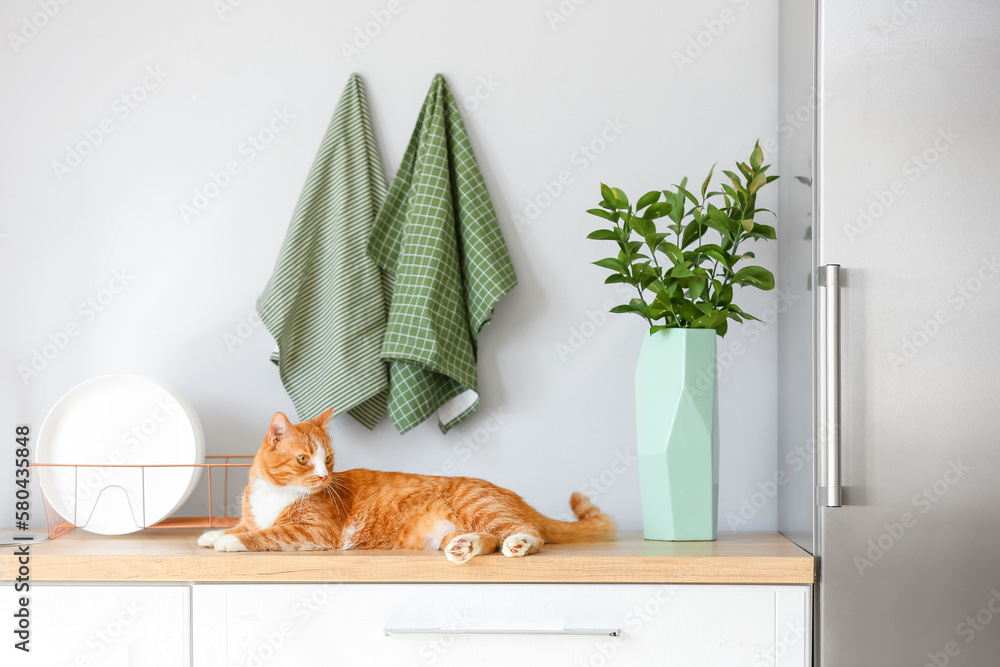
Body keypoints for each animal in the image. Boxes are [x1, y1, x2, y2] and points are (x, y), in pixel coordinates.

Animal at [198, 410, 612, 560]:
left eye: (327, 459)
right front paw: (213, 533)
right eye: (304, 459)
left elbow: (266, 533)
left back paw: (520, 543)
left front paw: (230, 541)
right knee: (489, 539)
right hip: (459, 528)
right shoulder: (254, 516)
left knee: (527, 533)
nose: (324, 476)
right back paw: (465, 547)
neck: (277, 493)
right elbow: (243, 525)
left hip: (479, 505)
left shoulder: (313, 531)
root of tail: (514, 495)